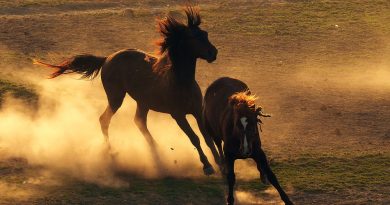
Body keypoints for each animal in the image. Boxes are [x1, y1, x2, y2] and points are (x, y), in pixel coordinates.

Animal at [33, 6, 219, 176]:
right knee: (105, 120)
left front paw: (219, 161)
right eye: (193, 36)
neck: (181, 82)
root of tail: (107, 58)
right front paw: (207, 166)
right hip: (116, 97)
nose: (213, 53)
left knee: (139, 122)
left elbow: (207, 138)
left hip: (143, 102)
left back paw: (157, 151)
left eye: (206, 34)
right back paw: (112, 153)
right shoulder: (178, 115)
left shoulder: (197, 111)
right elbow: (194, 138)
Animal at [203, 77, 294, 205]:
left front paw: (287, 200)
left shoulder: (258, 151)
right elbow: (231, 178)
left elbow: (271, 175)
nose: (245, 149)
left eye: (253, 125)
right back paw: (223, 166)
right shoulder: (229, 155)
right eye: (237, 125)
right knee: (218, 146)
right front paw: (230, 200)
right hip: (213, 132)